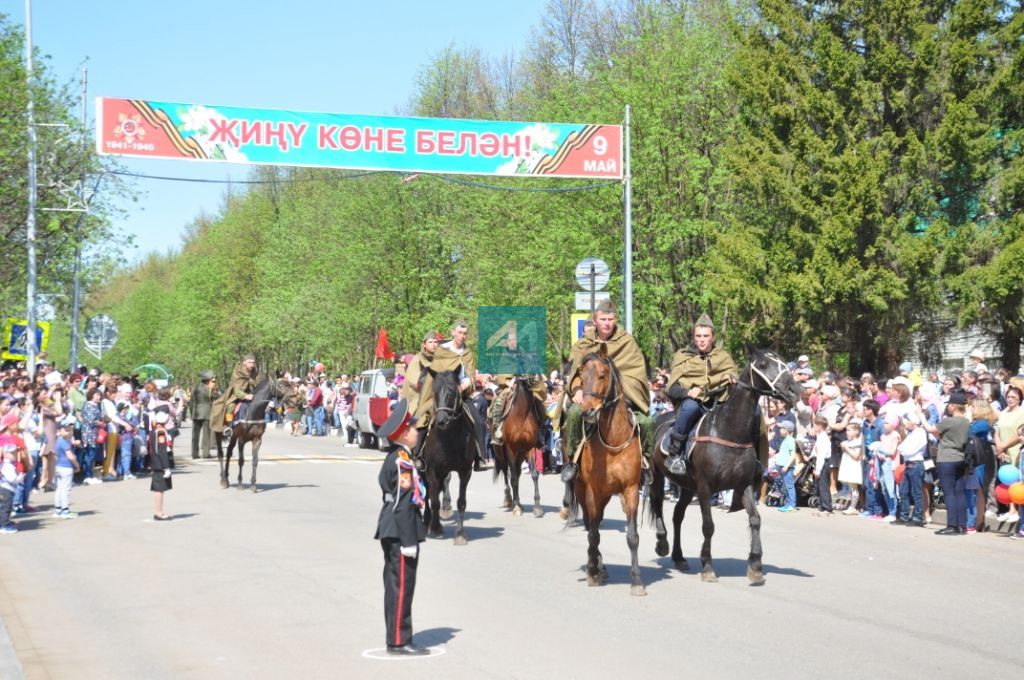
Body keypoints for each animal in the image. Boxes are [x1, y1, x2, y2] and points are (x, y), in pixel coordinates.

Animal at [419, 368, 475, 544]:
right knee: (428, 494)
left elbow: (462, 502)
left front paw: (460, 534)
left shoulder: (465, 471)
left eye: (452, 391)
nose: (442, 420)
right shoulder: (432, 470)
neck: (451, 437)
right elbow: (434, 500)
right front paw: (435, 528)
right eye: (435, 391)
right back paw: (427, 522)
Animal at [493, 376, 548, 516]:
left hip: (521, 453)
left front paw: (537, 506)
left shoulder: (530, 447)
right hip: (501, 453)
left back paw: (517, 502)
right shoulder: (510, 449)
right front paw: (516, 507)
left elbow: (534, 474)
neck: (521, 413)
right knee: (505, 471)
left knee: (517, 473)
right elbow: (512, 478)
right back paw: (509, 500)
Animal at [565, 346, 643, 593]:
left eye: (602, 375)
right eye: (581, 376)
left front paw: (636, 582)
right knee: (592, 525)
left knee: (596, 523)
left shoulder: (630, 490)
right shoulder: (592, 491)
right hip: (584, 492)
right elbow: (593, 535)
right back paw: (596, 566)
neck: (614, 442)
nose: (587, 411)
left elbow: (632, 536)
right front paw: (592, 572)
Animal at [651, 350, 802, 585]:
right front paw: (707, 566)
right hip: (656, 475)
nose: (794, 390)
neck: (728, 430)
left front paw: (755, 565)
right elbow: (708, 526)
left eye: (784, 363)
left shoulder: (743, 485)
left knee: (677, 515)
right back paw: (662, 544)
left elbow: (755, 520)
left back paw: (679, 557)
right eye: (763, 364)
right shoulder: (705, 488)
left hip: (687, 487)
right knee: (657, 504)